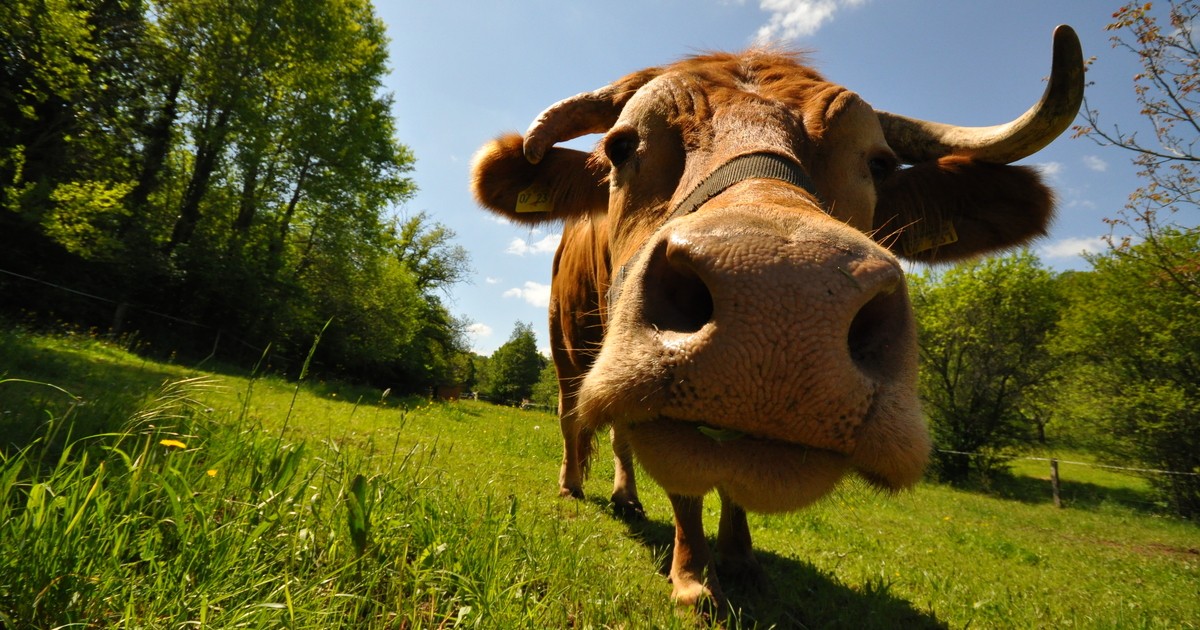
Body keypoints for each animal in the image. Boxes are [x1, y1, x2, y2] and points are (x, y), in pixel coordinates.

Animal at [465, 27, 1080, 612]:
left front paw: (740, 559)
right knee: (572, 416)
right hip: (565, 343)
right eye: (622, 146)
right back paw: (574, 485)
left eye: (878, 164)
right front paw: (694, 578)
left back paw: (627, 496)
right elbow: (682, 479)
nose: (782, 297)